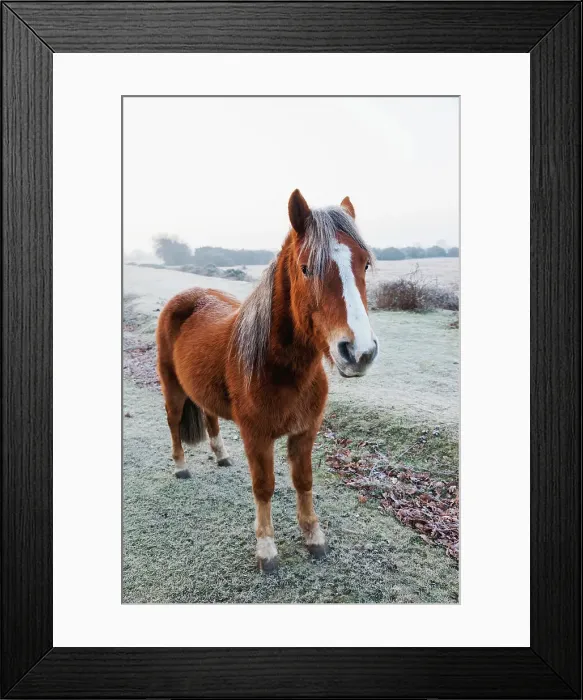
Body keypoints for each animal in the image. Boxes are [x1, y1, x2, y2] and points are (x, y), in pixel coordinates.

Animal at [156, 189, 378, 572]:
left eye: (364, 264)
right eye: (306, 268)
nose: (359, 352)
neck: (280, 369)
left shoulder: (305, 432)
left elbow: (303, 481)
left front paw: (314, 537)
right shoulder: (257, 437)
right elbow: (264, 486)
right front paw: (266, 549)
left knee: (209, 415)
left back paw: (221, 455)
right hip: (172, 386)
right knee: (173, 422)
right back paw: (181, 467)